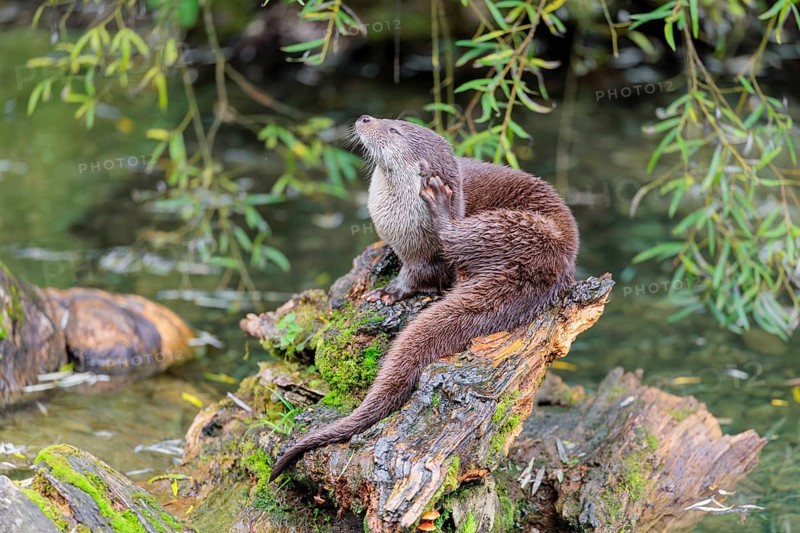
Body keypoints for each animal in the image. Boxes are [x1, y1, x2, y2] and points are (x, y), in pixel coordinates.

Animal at [269, 116, 579, 481]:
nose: (364, 118)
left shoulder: (426, 255)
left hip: (514, 227)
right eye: (392, 120)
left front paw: (389, 292)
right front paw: (383, 258)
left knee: (456, 235)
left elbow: (420, 275)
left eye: (394, 131)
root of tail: (552, 268)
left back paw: (440, 202)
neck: (396, 220)